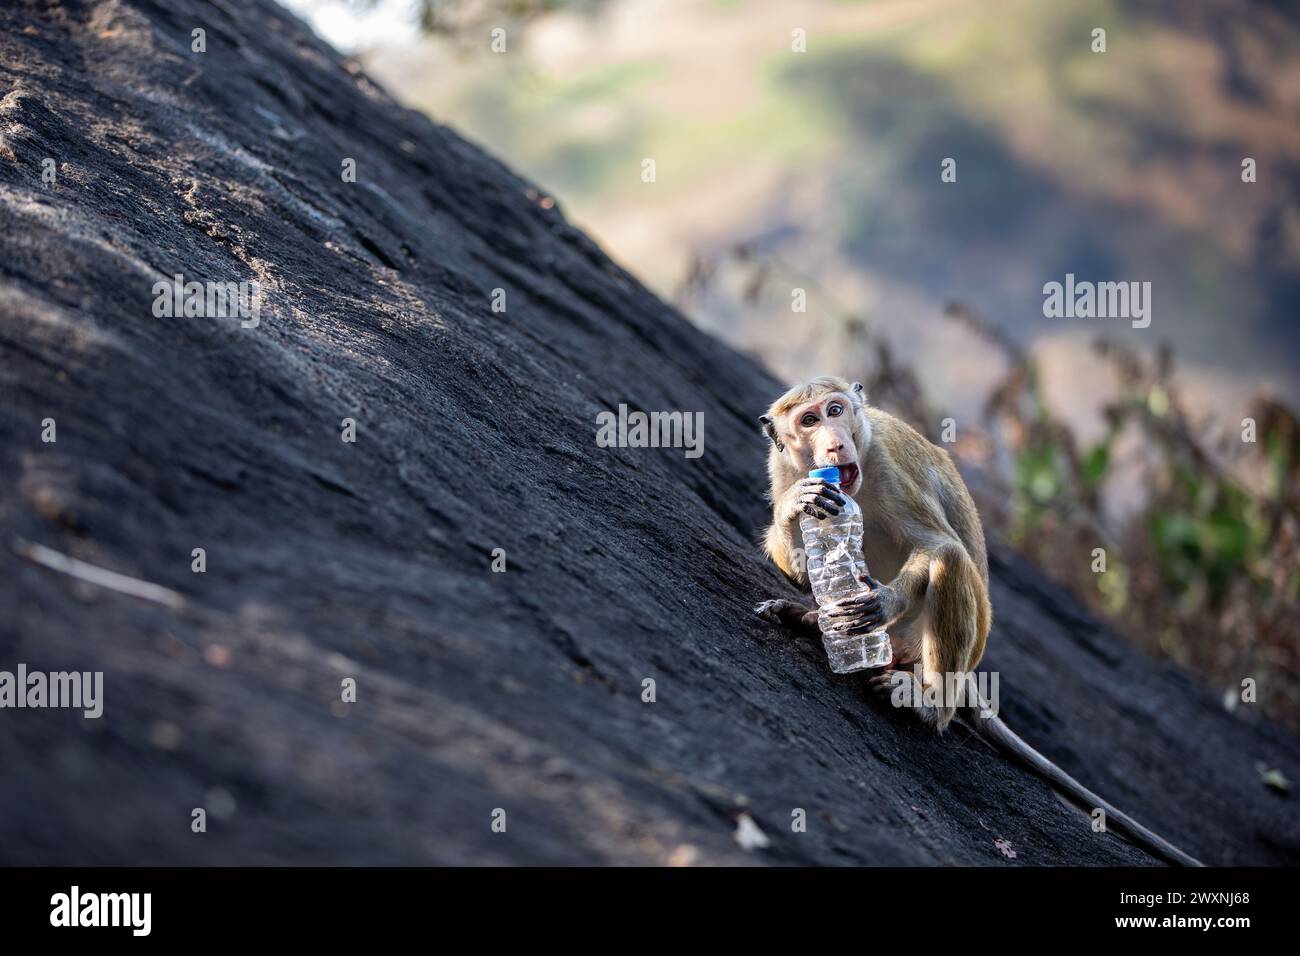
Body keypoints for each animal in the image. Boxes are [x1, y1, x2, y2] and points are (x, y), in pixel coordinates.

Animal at [759, 374, 1201, 868]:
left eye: (835, 411)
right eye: (809, 420)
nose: (835, 445)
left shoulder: (890, 470)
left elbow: (939, 547)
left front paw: (883, 601)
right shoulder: (781, 468)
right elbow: (803, 562)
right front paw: (797, 507)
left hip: (946, 642)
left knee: (951, 564)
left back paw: (931, 706)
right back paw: (811, 619)